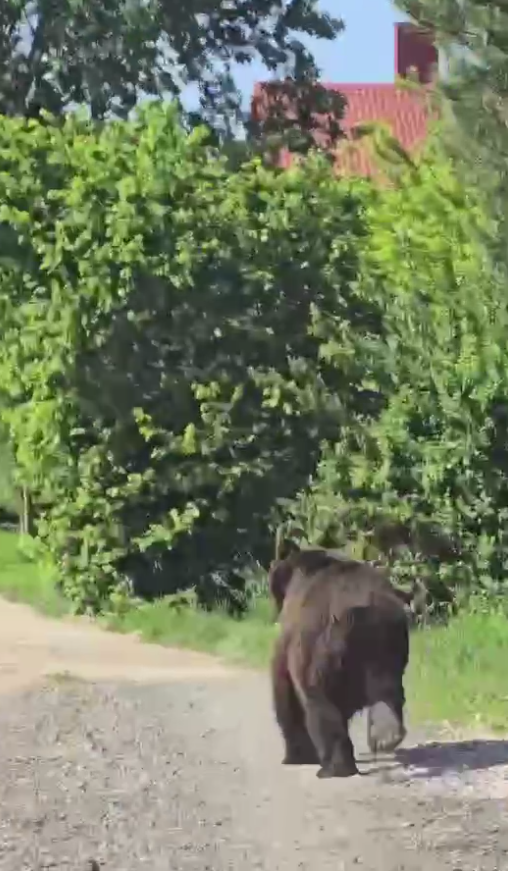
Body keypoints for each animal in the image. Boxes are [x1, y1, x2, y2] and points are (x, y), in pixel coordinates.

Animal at [268, 539, 413, 778]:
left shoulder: (291, 641)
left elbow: (285, 693)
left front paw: (296, 756)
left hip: (322, 645)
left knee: (318, 698)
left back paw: (333, 768)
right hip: (388, 643)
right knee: (388, 688)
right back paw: (386, 736)